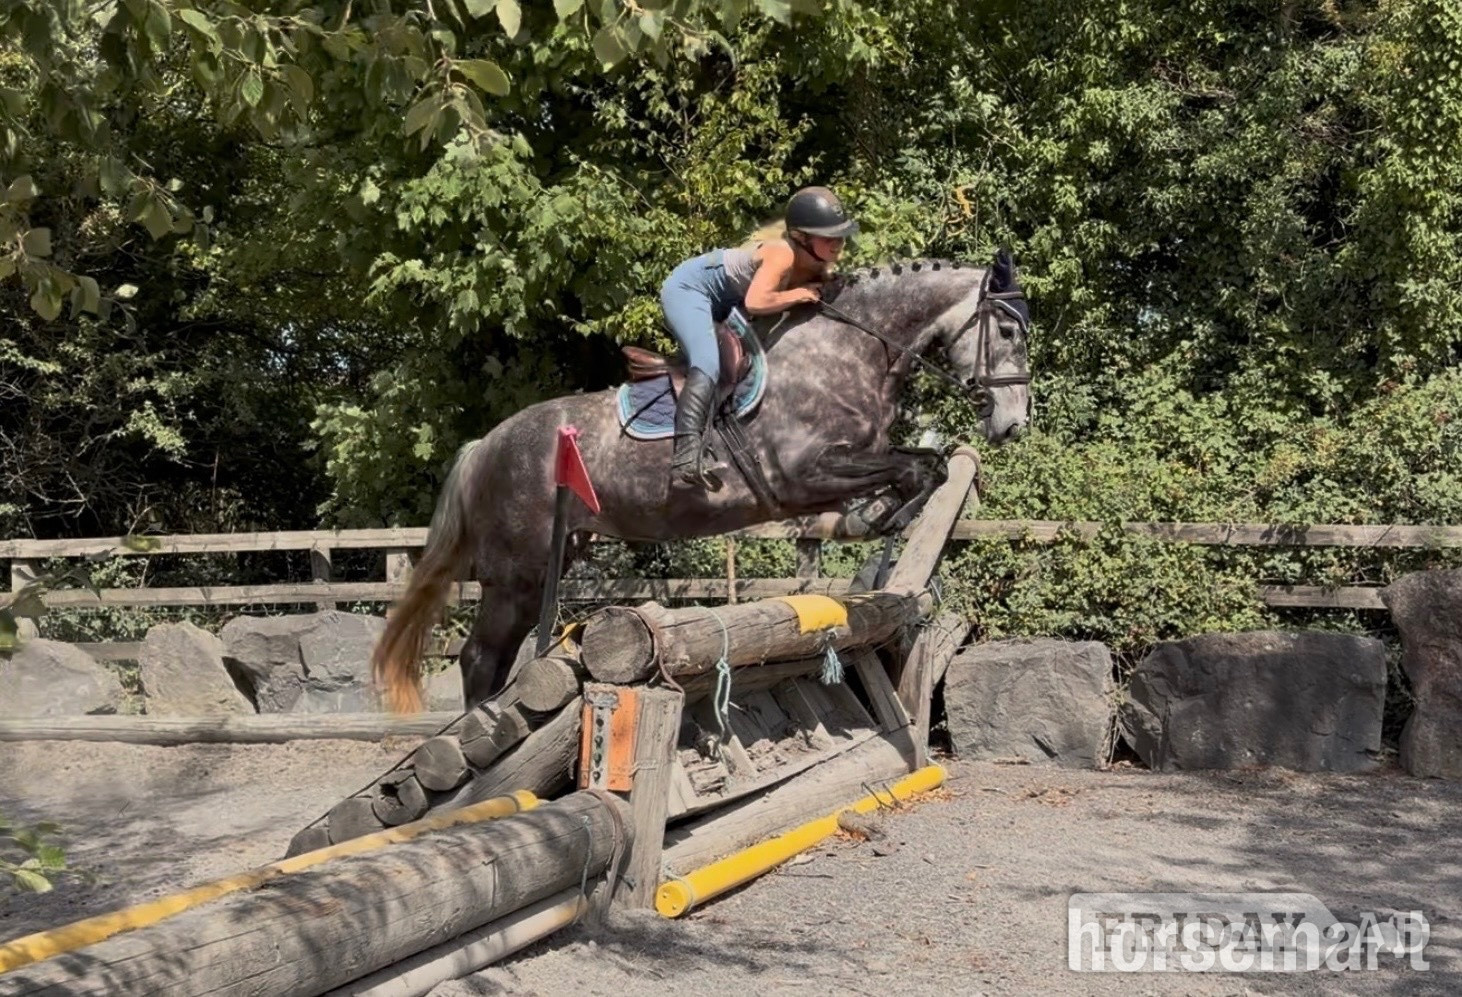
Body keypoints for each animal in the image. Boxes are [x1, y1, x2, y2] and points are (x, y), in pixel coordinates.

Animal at [374, 250, 1032, 712]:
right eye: (1007, 333)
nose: (1014, 424)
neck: (847, 351)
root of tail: (485, 445)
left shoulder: (847, 464)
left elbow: (926, 466)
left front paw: (872, 521)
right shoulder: (801, 474)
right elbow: (914, 468)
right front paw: (874, 518)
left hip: (555, 555)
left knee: (502, 650)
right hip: (516, 570)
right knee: (481, 656)